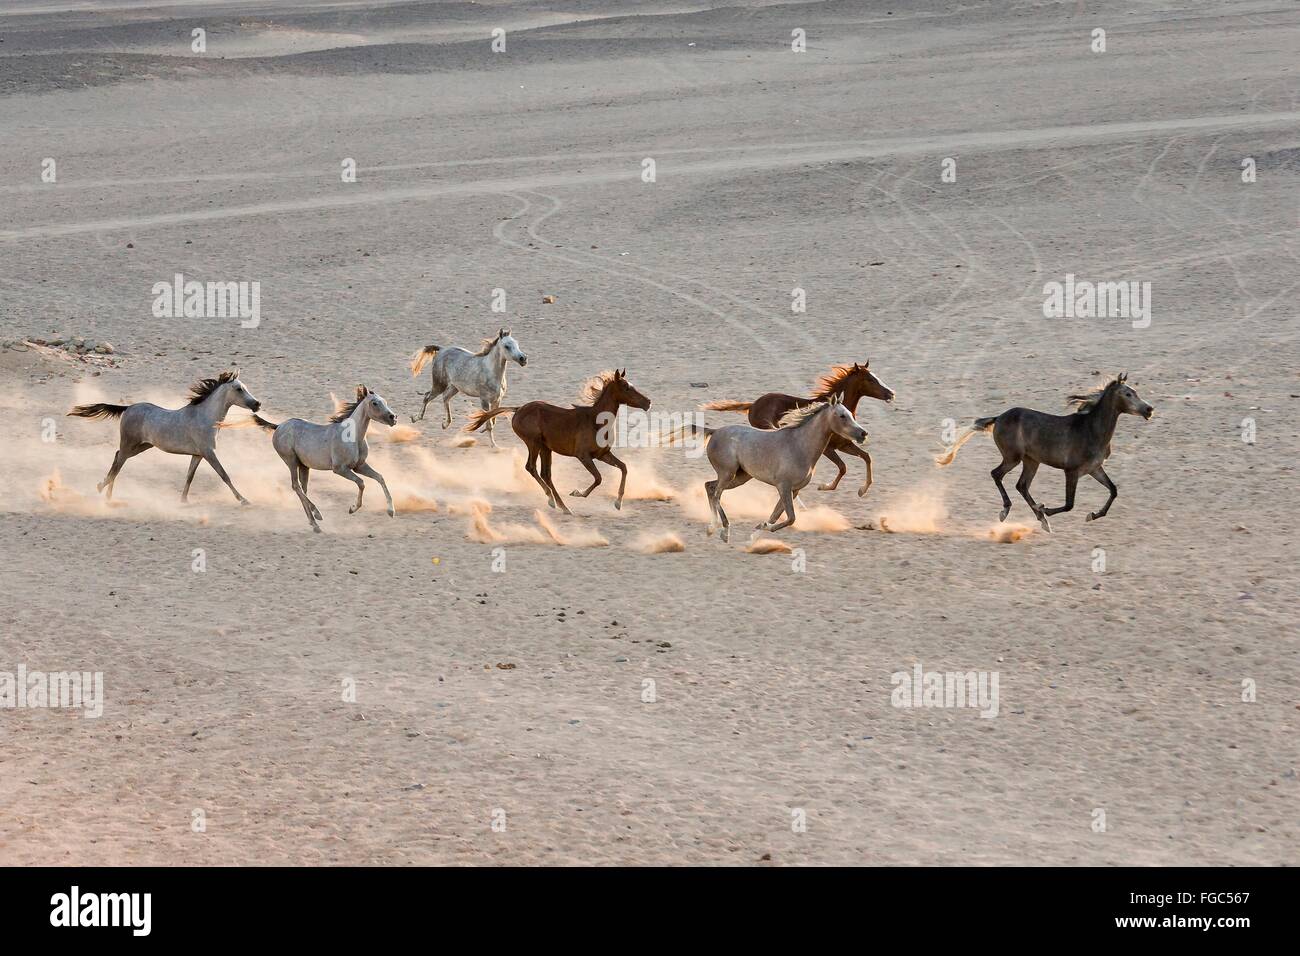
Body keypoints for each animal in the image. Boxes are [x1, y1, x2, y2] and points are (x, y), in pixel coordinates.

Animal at [243, 387, 395, 535]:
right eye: (375, 403)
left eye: (385, 401)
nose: (393, 417)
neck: (352, 437)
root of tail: (279, 426)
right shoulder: (340, 469)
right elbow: (361, 483)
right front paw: (352, 508)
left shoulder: (359, 466)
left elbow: (380, 477)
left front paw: (391, 511)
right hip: (291, 461)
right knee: (295, 486)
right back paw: (317, 514)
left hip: (304, 466)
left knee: (303, 489)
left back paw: (315, 524)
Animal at [465, 369, 650, 515]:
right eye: (627, 388)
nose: (648, 402)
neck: (596, 421)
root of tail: (518, 409)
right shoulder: (583, 456)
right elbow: (598, 478)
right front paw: (577, 493)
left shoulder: (602, 454)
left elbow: (624, 468)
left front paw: (618, 503)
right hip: (534, 443)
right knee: (531, 468)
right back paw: (552, 501)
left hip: (546, 448)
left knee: (546, 474)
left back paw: (563, 507)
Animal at [681, 395, 863, 541]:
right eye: (842, 415)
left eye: (850, 413)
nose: (863, 434)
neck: (799, 446)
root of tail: (715, 431)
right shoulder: (784, 486)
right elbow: (790, 518)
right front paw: (761, 528)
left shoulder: (793, 490)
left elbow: (776, 515)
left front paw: (754, 536)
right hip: (728, 474)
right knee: (717, 495)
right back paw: (724, 531)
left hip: (740, 477)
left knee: (709, 487)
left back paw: (711, 528)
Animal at [702, 361, 894, 502]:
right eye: (870, 379)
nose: (891, 393)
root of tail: (754, 404)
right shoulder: (828, 449)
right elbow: (843, 467)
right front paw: (825, 486)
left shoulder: (844, 445)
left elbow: (866, 457)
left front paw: (862, 490)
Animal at [935, 371, 1159, 535]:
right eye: (1128, 394)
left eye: (1135, 392)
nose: (1149, 410)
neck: (1091, 430)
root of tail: (998, 418)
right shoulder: (1071, 471)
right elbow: (1069, 504)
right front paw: (1046, 509)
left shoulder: (1094, 469)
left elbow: (1113, 490)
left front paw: (1092, 515)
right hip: (1013, 458)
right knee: (996, 474)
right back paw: (1008, 511)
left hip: (1031, 461)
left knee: (1021, 485)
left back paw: (1041, 520)